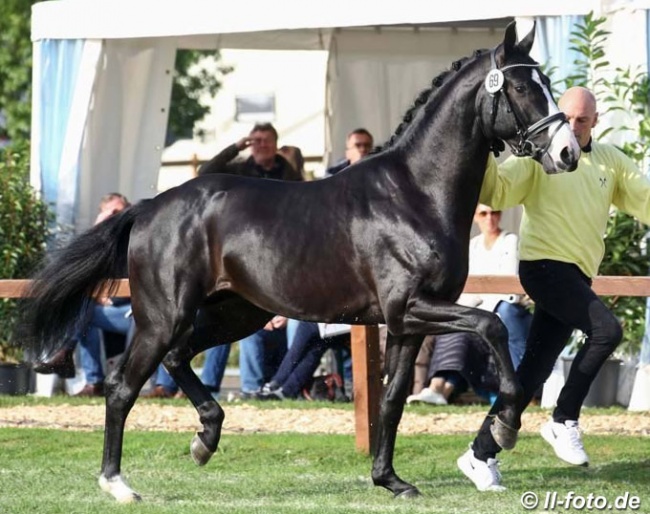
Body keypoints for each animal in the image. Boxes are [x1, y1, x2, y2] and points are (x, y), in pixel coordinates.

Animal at [17, 23, 576, 500]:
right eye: (522, 88)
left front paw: (391, 480)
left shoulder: (406, 324)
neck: (415, 194)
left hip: (237, 313)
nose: (568, 153)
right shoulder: (411, 308)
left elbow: (393, 399)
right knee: (122, 386)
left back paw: (205, 438)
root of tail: (150, 206)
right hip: (164, 316)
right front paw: (505, 426)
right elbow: (492, 327)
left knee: (177, 360)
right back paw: (118, 484)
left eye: (547, 83)